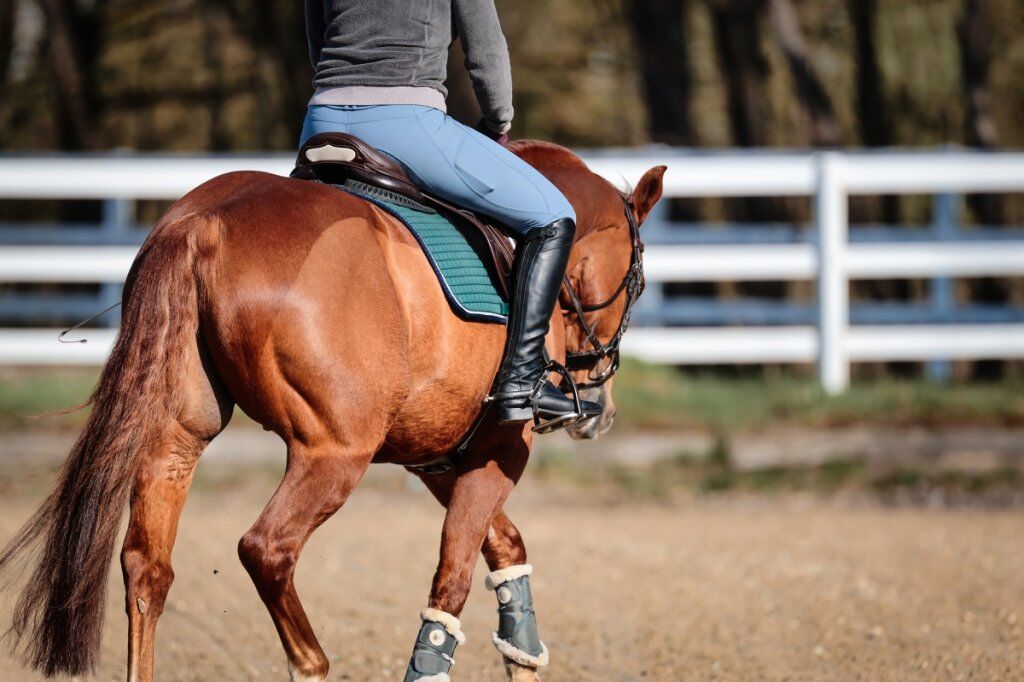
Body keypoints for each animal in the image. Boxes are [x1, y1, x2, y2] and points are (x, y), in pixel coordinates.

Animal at [0, 139, 663, 679]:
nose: (598, 409)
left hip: (175, 437)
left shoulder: (439, 456)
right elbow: (452, 581)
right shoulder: (501, 447)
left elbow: (505, 548)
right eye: (636, 284)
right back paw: (310, 662)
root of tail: (204, 221)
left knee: (146, 568)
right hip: (333, 454)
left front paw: (522, 647)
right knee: (266, 549)